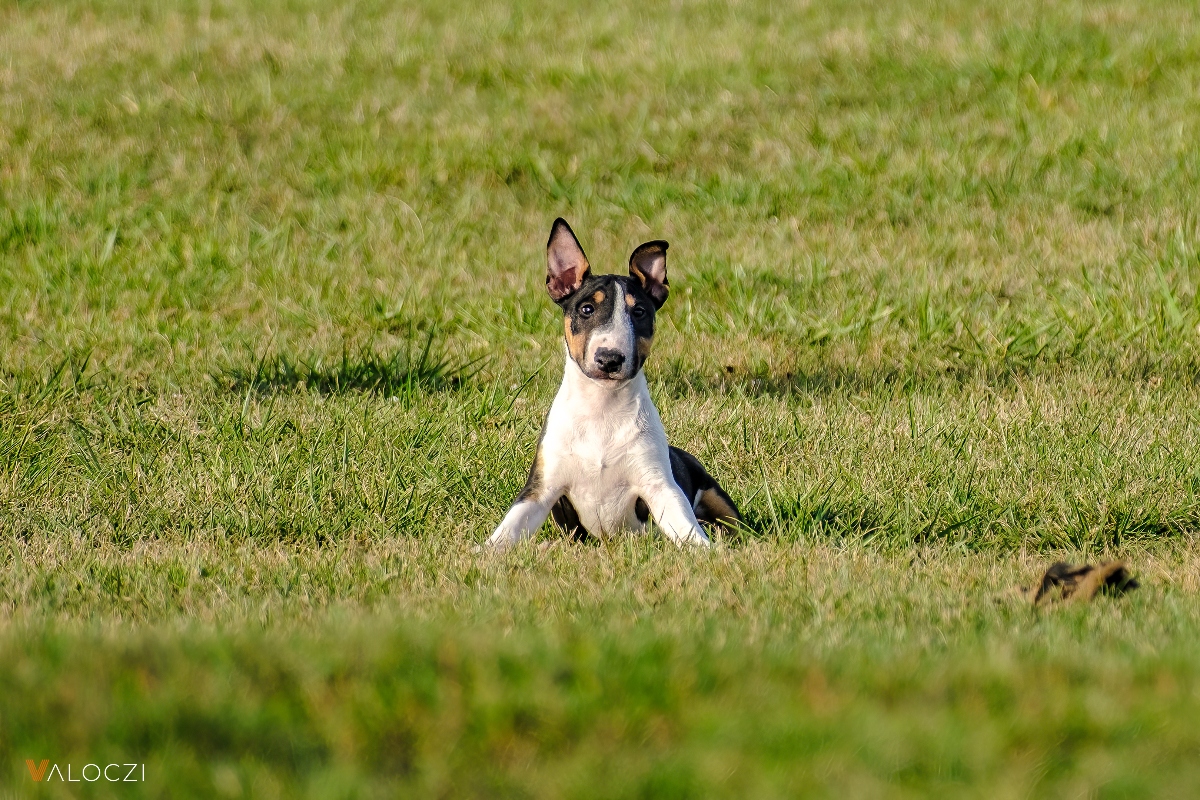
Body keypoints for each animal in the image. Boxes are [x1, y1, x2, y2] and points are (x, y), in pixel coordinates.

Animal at [487, 217, 739, 551]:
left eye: (639, 312)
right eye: (586, 309)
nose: (609, 359)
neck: (602, 408)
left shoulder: (659, 486)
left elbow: (685, 526)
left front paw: (705, 551)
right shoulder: (541, 489)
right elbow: (509, 528)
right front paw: (482, 551)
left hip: (713, 491)